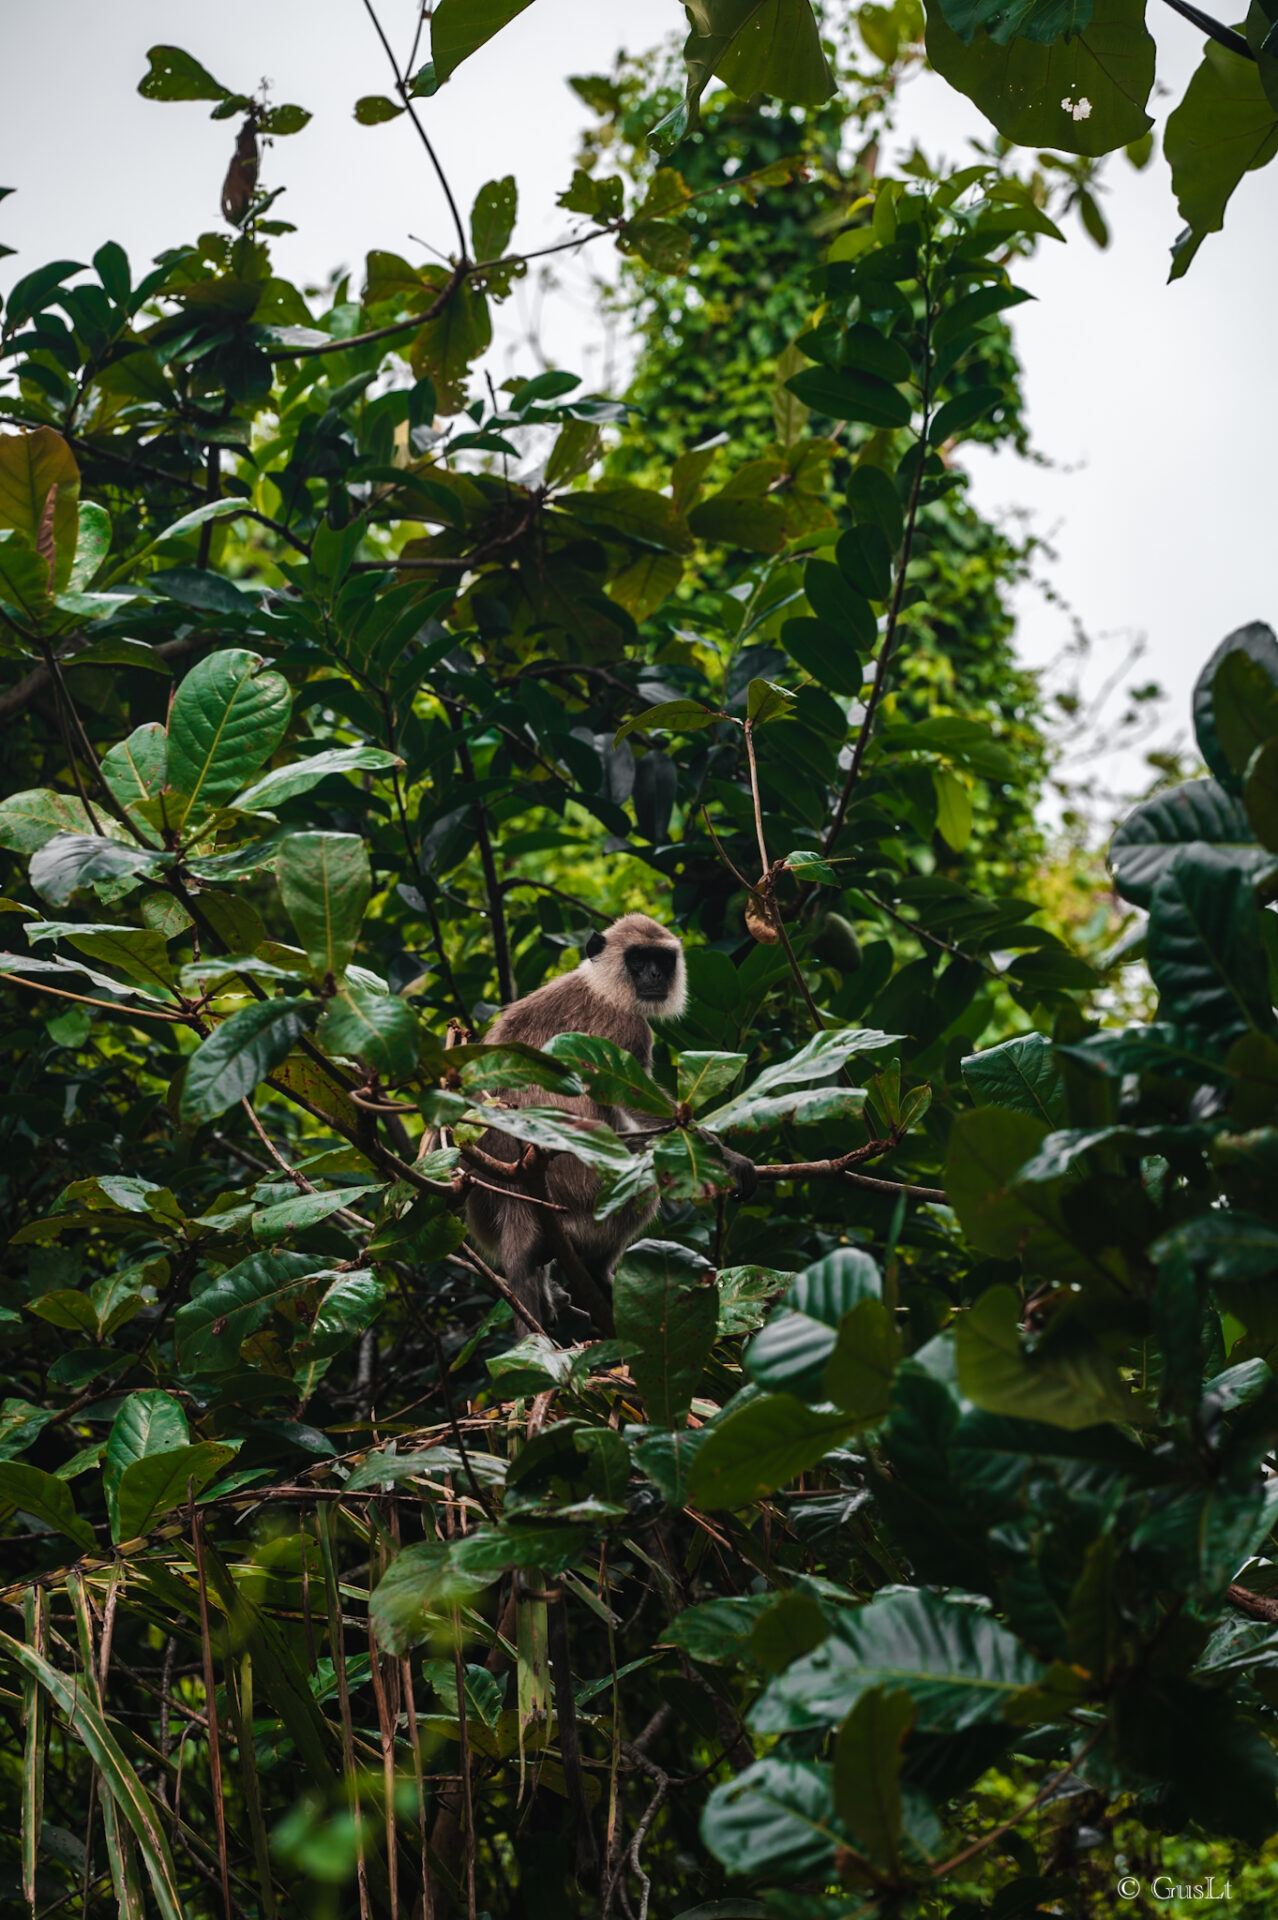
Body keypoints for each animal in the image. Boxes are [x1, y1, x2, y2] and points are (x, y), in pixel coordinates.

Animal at [466, 910, 748, 1328]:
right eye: (638, 959)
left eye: (662, 960)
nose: (654, 975)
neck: (601, 986)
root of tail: (513, 1196)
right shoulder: (623, 1026)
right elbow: (633, 1104)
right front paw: (727, 1160)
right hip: (585, 1194)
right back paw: (597, 1271)